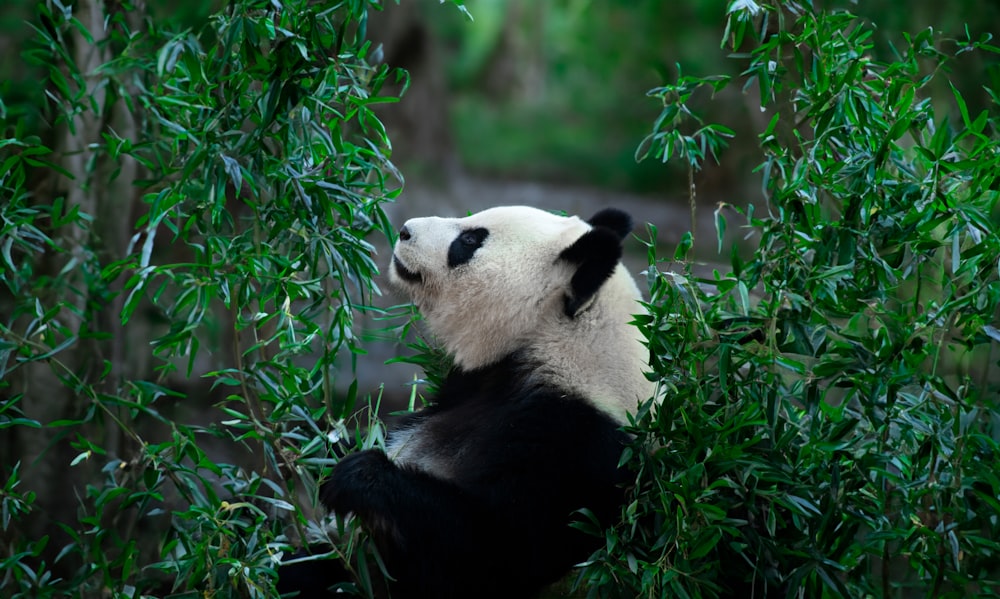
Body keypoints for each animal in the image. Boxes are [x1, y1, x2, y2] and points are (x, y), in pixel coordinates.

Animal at [282, 207, 656, 599]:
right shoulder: (472, 384)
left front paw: (355, 476)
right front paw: (314, 441)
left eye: (470, 240)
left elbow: (491, 557)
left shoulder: (579, 452)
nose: (404, 231)